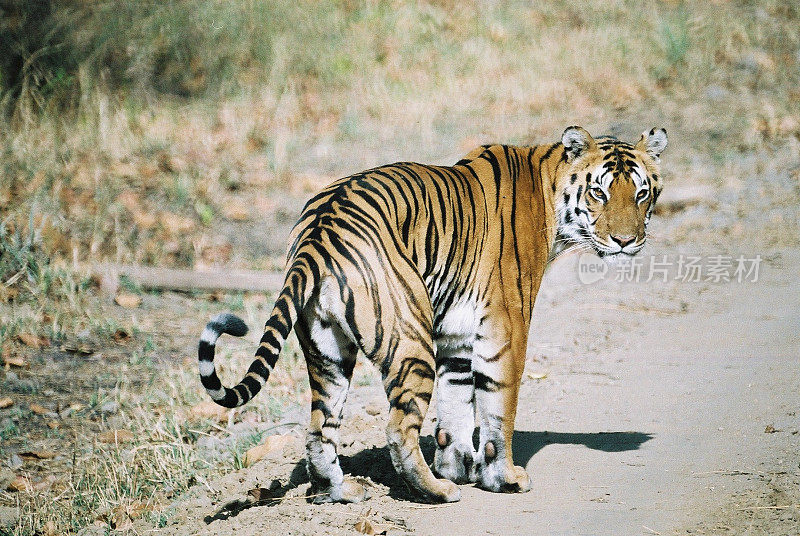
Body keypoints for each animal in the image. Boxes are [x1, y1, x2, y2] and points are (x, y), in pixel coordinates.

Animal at [197, 125, 664, 502]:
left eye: (641, 193)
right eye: (599, 192)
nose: (626, 241)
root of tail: (318, 231)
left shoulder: (456, 334)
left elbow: (456, 406)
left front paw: (459, 467)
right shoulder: (507, 326)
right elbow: (498, 408)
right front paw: (503, 478)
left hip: (328, 351)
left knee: (318, 428)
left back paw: (342, 491)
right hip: (409, 339)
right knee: (397, 428)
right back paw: (436, 491)